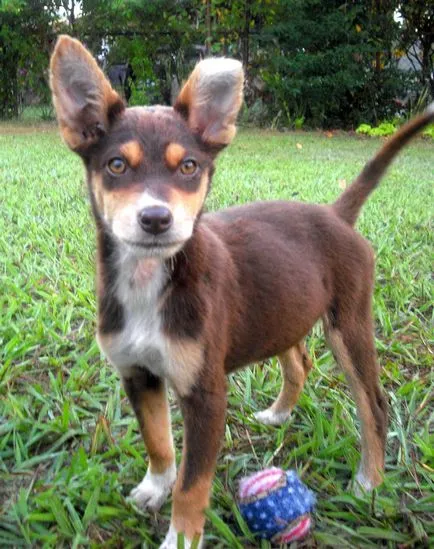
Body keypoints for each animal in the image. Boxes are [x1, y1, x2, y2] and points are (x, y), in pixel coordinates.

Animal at [49, 35, 432, 548]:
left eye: (189, 167)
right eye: (115, 165)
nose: (156, 219)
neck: (150, 281)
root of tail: (335, 214)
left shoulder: (206, 394)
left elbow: (193, 484)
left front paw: (180, 537)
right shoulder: (137, 373)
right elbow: (158, 442)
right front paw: (154, 487)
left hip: (348, 325)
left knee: (373, 404)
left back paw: (369, 480)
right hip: (283, 309)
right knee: (299, 361)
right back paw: (279, 414)